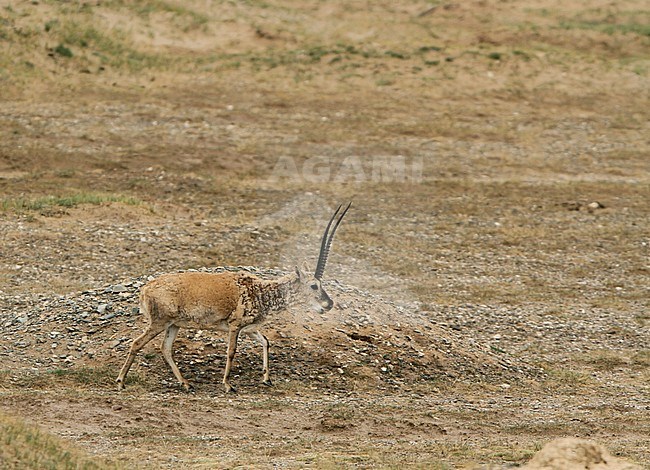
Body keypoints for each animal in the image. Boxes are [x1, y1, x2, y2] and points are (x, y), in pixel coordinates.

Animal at [116, 202, 350, 392]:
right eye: (314, 285)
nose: (329, 304)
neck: (260, 290)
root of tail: (145, 289)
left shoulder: (251, 329)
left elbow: (266, 342)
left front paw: (266, 379)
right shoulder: (235, 326)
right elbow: (231, 351)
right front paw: (228, 385)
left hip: (174, 325)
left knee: (165, 349)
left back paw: (186, 384)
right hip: (160, 322)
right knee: (137, 343)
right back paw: (121, 381)